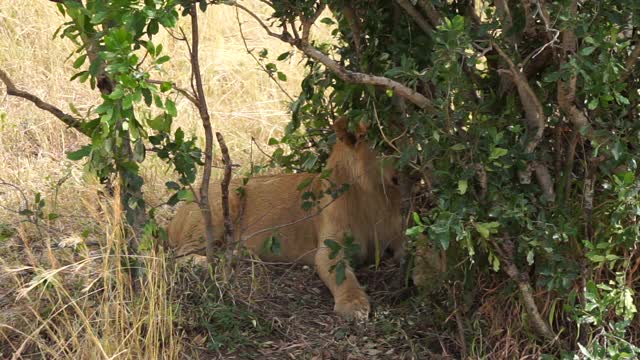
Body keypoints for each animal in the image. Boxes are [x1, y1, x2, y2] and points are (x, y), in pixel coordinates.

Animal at [166, 117, 404, 318]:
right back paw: (224, 257)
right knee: (181, 255)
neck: (373, 196)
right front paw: (353, 305)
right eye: (386, 146)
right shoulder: (329, 250)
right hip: (221, 204)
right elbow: (344, 278)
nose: (409, 165)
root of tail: (181, 208)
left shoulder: (398, 238)